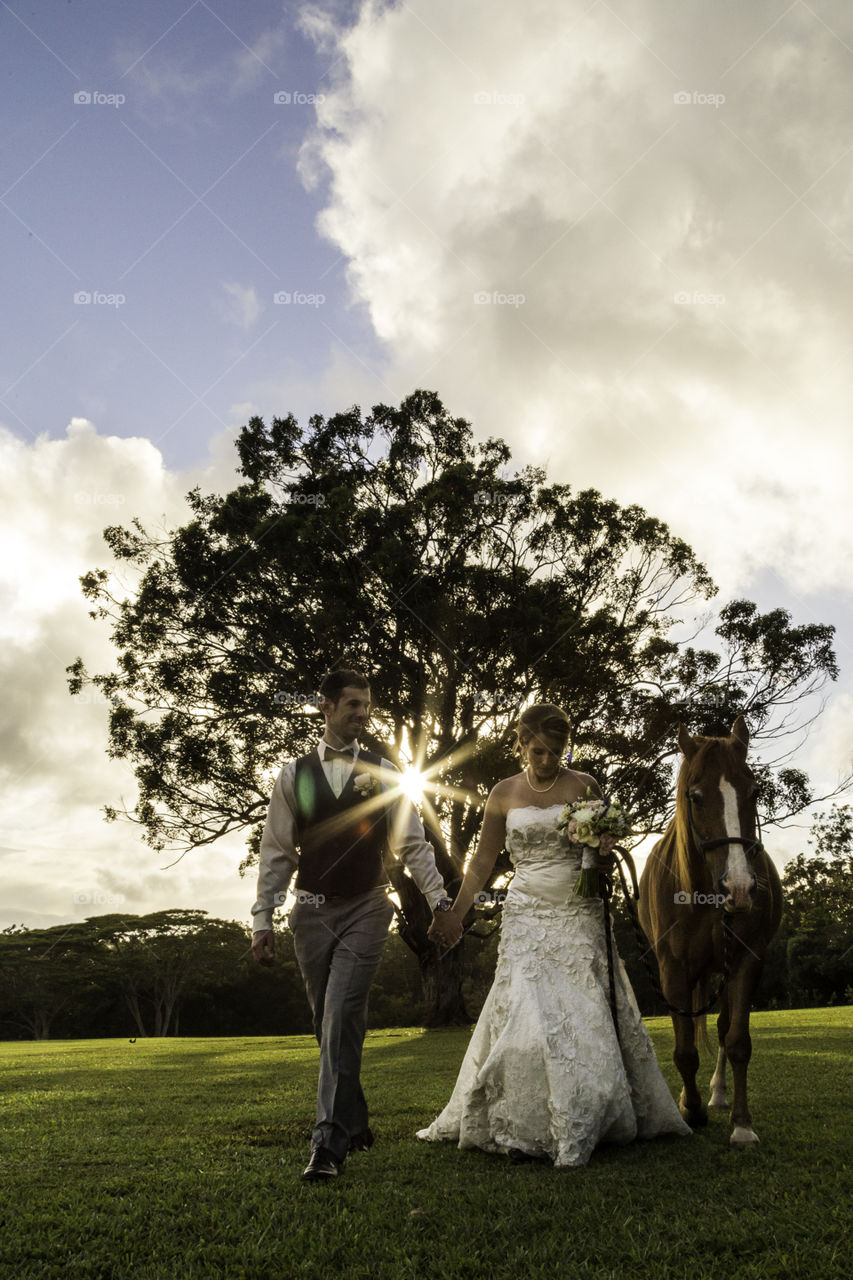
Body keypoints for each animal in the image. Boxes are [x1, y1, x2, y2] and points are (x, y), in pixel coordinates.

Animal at [637, 716, 778, 1146]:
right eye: (696, 797)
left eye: (754, 791)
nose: (739, 887)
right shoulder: (673, 969)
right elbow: (684, 1050)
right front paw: (690, 1108)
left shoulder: (747, 960)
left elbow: (737, 1041)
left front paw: (742, 1124)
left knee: (721, 1028)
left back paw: (718, 1093)